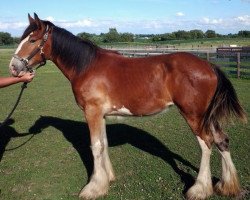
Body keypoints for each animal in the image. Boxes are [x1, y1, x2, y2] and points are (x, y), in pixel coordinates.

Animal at [8, 13, 247, 199]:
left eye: (32, 39)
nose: (13, 67)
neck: (86, 66)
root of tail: (209, 65)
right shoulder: (101, 115)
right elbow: (103, 143)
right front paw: (108, 179)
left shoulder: (92, 112)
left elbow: (95, 146)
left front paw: (93, 188)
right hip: (207, 116)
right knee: (222, 140)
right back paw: (226, 186)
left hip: (194, 115)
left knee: (206, 144)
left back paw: (199, 190)